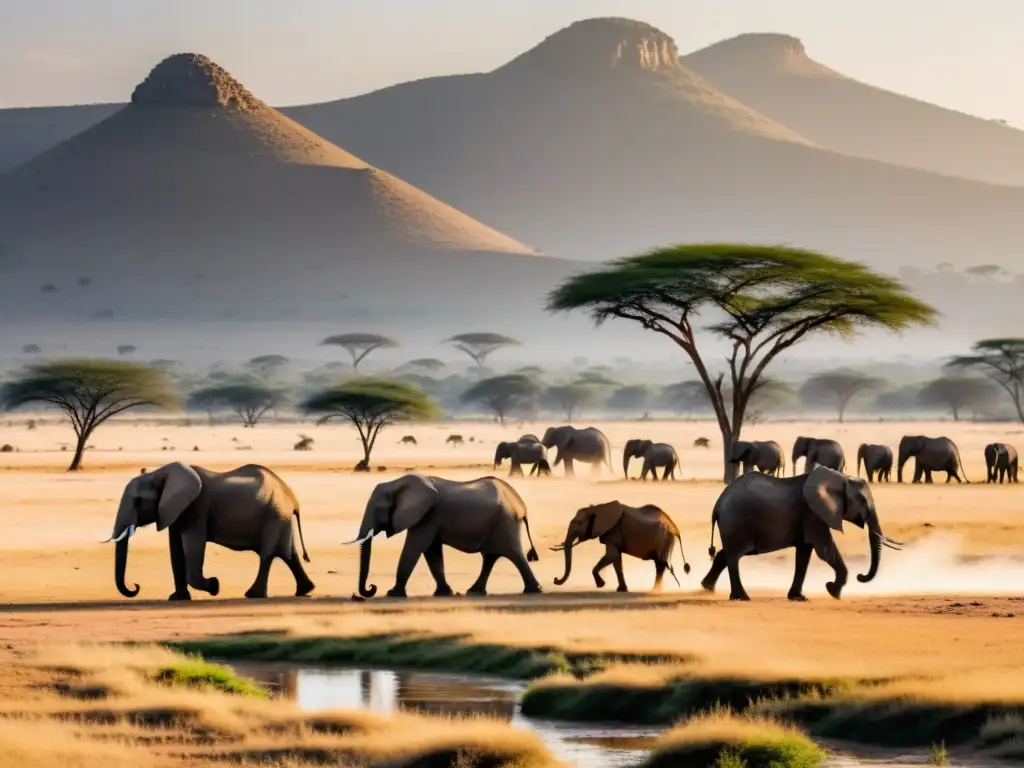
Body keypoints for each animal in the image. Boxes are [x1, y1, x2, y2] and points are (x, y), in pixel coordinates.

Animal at [104, 462, 313, 602]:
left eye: (138, 501)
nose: (136, 586)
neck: (160, 473)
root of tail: (293, 499)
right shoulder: (175, 510)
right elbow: (176, 549)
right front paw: (178, 598)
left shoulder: (197, 507)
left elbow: (193, 545)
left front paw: (214, 586)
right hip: (280, 517)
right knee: (289, 554)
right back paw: (305, 590)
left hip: (274, 516)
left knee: (268, 554)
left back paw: (253, 595)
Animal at [346, 475, 540, 602]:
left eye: (378, 510)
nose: (371, 588)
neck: (396, 483)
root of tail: (521, 505)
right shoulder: (429, 516)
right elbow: (432, 553)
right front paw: (443, 593)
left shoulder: (429, 515)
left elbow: (415, 547)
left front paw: (392, 593)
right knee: (490, 557)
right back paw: (474, 591)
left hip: (505, 521)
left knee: (514, 554)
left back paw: (533, 590)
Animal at [548, 499, 692, 593]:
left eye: (578, 523)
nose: (555, 579)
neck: (596, 508)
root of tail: (675, 527)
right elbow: (616, 559)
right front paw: (621, 589)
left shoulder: (613, 531)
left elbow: (611, 555)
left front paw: (601, 585)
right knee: (659, 563)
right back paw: (656, 589)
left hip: (663, 539)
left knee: (660, 564)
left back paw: (655, 590)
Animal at [700, 466, 901, 606]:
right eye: (862, 502)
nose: (861, 576)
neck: (840, 478)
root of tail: (717, 505)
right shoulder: (813, 514)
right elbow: (824, 550)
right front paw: (833, 591)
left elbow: (805, 553)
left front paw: (799, 598)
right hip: (736, 523)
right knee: (733, 557)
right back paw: (741, 597)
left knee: (724, 555)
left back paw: (707, 588)